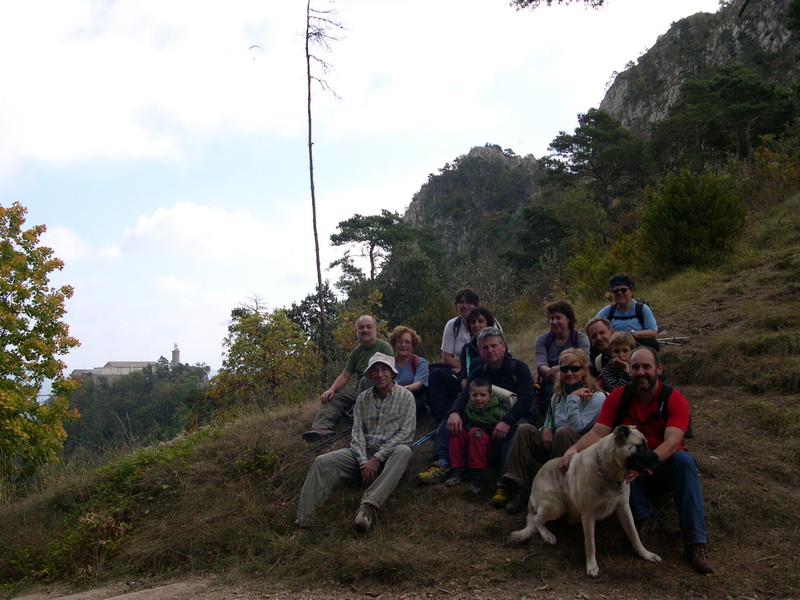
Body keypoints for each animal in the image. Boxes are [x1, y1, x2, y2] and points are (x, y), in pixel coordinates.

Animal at [512, 424, 664, 580]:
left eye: (646, 444)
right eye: (640, 446)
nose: (660, 460)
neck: (607, 471)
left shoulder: (624, 509)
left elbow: (634, 535)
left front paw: (645, 554)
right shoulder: (588, 516)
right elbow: (590, 544)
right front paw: (591, 566)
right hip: (557, 506)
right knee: (536, 519)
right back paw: (547, 535)